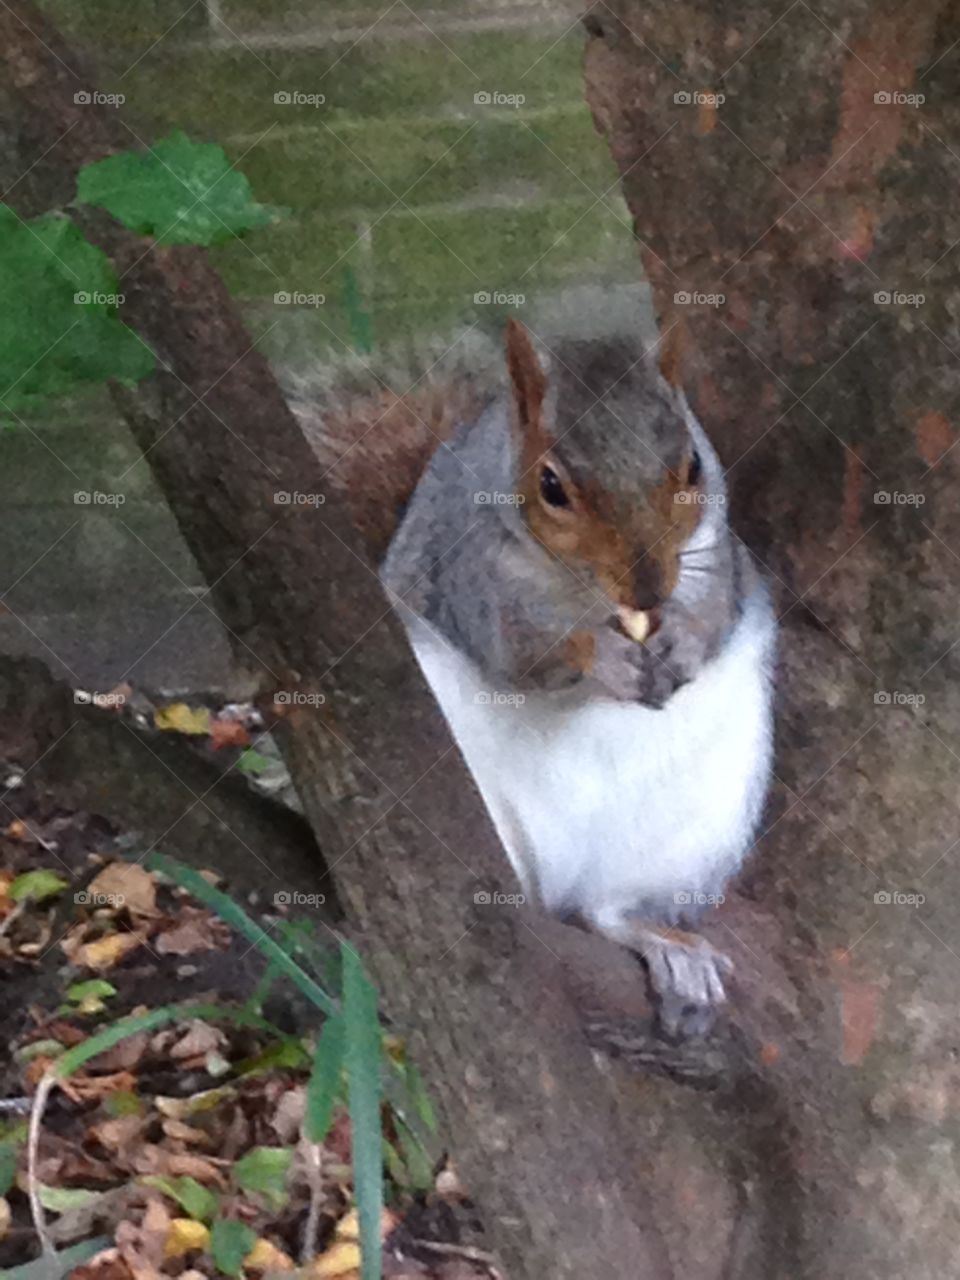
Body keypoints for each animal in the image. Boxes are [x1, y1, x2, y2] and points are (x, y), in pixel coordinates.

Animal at [289, 294, 778, 1034]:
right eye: (551, 486)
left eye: (693, 466)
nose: (647, 590)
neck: (589, 595)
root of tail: (555, 881)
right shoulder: (473, 579)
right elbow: (520, 654)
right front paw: (602, 656)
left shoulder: (717, 561)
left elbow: (714, 618)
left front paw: (681, 643)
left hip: (685, 828)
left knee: (605, 910)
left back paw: (665, 947)